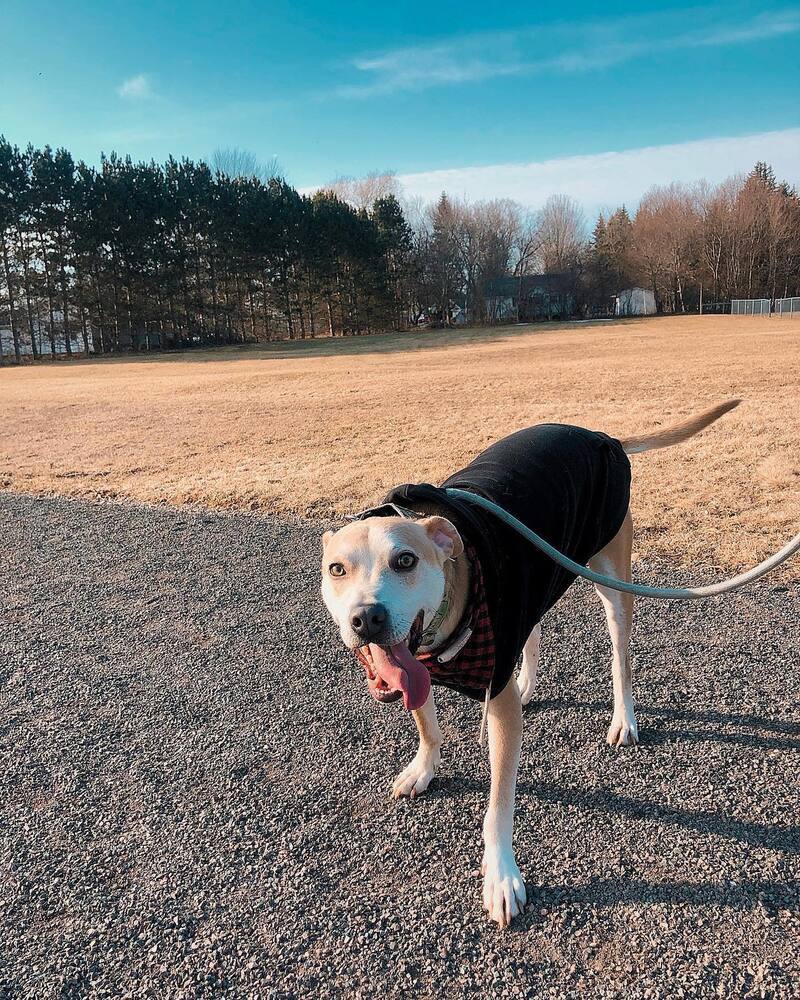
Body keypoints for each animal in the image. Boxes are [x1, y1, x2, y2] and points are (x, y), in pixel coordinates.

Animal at [320, 400, 744, 928]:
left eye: (405, 560)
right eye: (337, 569)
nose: (367, 618)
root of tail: (601, 435)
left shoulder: (496, 706)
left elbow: (498, 805)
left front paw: (501, 877)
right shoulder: (418, 665)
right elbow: (427, 725)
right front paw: (424, 767)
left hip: (611, 578)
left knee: (621, 655)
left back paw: (623, 717)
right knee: (533, 628)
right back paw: (527, 685)